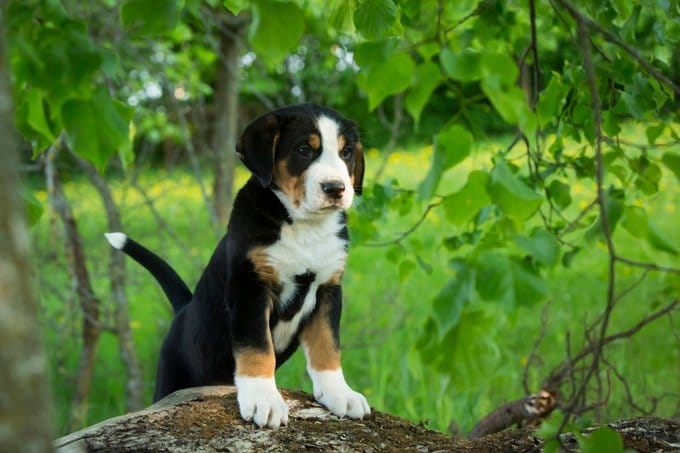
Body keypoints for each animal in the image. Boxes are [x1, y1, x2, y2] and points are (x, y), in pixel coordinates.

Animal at [106, 103, 370, 428]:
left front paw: (340, 394)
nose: (335, 188)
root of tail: (183, 310)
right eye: (304, 150)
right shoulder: (250, 289)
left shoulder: (328, 289)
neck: (304, 227)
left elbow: (327, 346)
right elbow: (257, 348)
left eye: (346, 153)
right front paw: (263, 399)